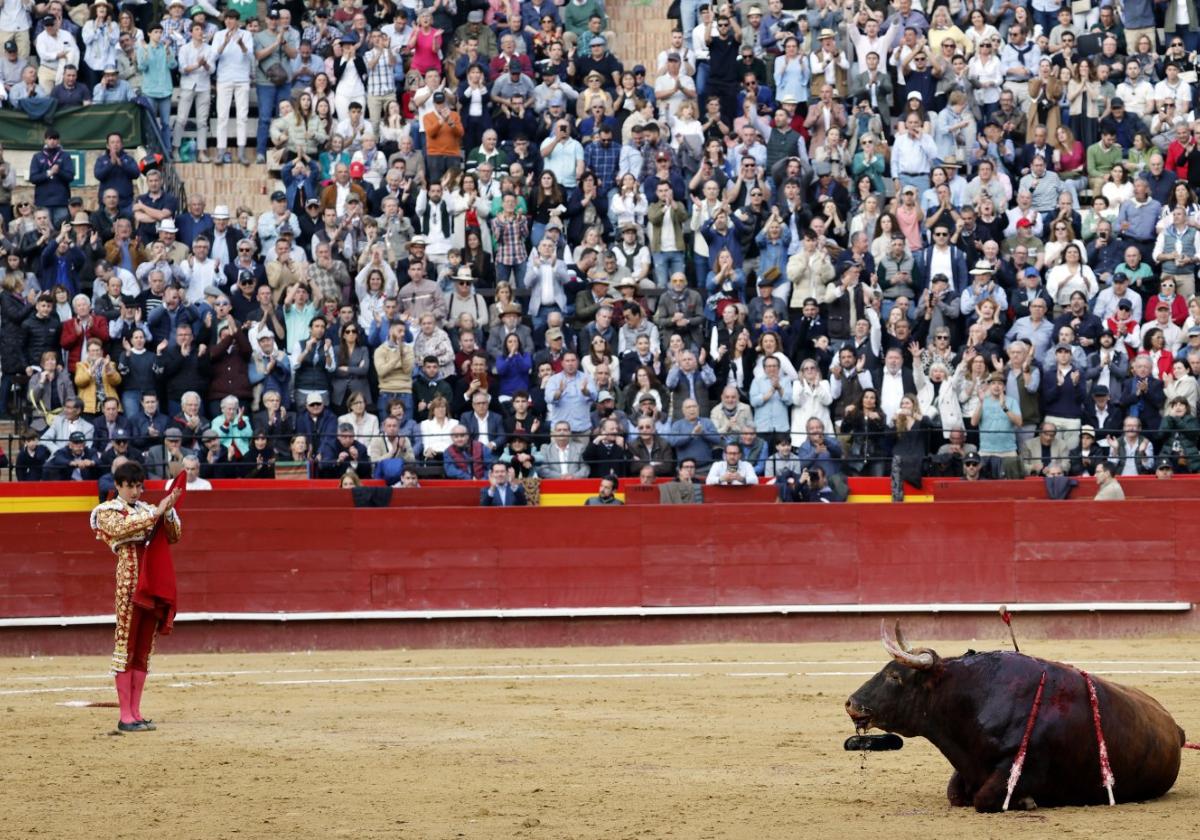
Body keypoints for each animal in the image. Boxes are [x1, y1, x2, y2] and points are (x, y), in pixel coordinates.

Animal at [844, 619, 1180, 811]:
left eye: (895, 677)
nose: (851, 703)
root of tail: (1175, 728)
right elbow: (954, 793)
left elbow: (983, 799)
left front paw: (1028, 801)